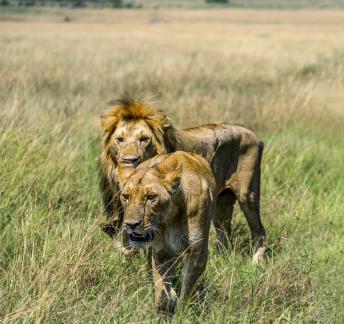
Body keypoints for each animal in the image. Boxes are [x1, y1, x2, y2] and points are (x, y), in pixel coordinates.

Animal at [99, 95, 266, 262]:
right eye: (120, 139)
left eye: (144, 139)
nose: (129, 160)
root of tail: (254, 135)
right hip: (222, 200)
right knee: (223, 234)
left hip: (248, 195)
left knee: (259, 230)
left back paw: (256, 261)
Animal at [119, 151, 215, 312]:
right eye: (126, 196)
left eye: (151, 197)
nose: (131, 224)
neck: (171, 217)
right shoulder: (161, 250)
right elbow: (161, 286)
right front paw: (163, 309)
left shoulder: (197, 251)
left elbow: (187, 285)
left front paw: (183, 311)